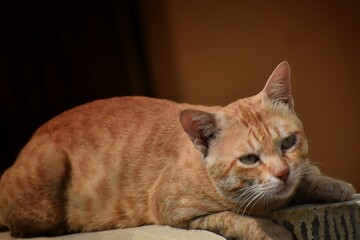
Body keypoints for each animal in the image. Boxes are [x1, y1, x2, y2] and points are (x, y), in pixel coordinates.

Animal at [0, 61, 356, 238]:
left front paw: (332, 185)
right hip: (47, 181)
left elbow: (309, 173)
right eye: (249, 159)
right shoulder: (176, 211)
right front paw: (270, 231)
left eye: (288, 142)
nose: (281, 173)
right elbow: (232, 219)